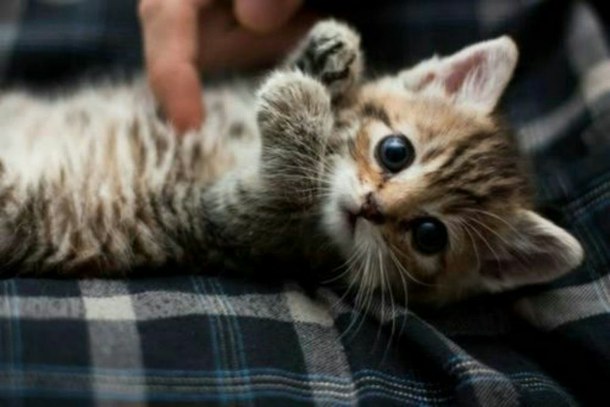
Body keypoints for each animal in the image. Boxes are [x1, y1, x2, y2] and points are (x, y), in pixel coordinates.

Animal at [0, 20, 583, 306]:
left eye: (429, 235)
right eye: (395, 152)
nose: (371, 207)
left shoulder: (224, 221)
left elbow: (275, 189)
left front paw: (299, 107)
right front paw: (325, 57)